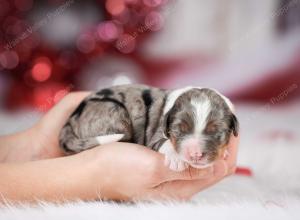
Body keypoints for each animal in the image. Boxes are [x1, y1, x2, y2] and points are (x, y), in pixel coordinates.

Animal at [59, 84, 239, 172]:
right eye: (178, 129)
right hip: (113, 113)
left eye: (216, 131)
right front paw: (176, 159)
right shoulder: (156, 133)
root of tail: (71, 119)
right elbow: (163, 142)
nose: (195, 154)